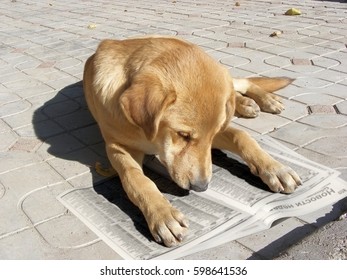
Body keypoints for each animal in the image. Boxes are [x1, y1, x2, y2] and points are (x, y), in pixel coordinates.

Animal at [82, 35, 302, 247]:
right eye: (183, 135)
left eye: (213, 134)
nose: (201, 187)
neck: (148, 134)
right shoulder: (117, 147)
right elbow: (135, 178)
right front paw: (162, 214)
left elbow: (241, 136)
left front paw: (275, 169)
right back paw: (246, 103)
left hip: (226, 77)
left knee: (243, 84)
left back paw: (262, 100)